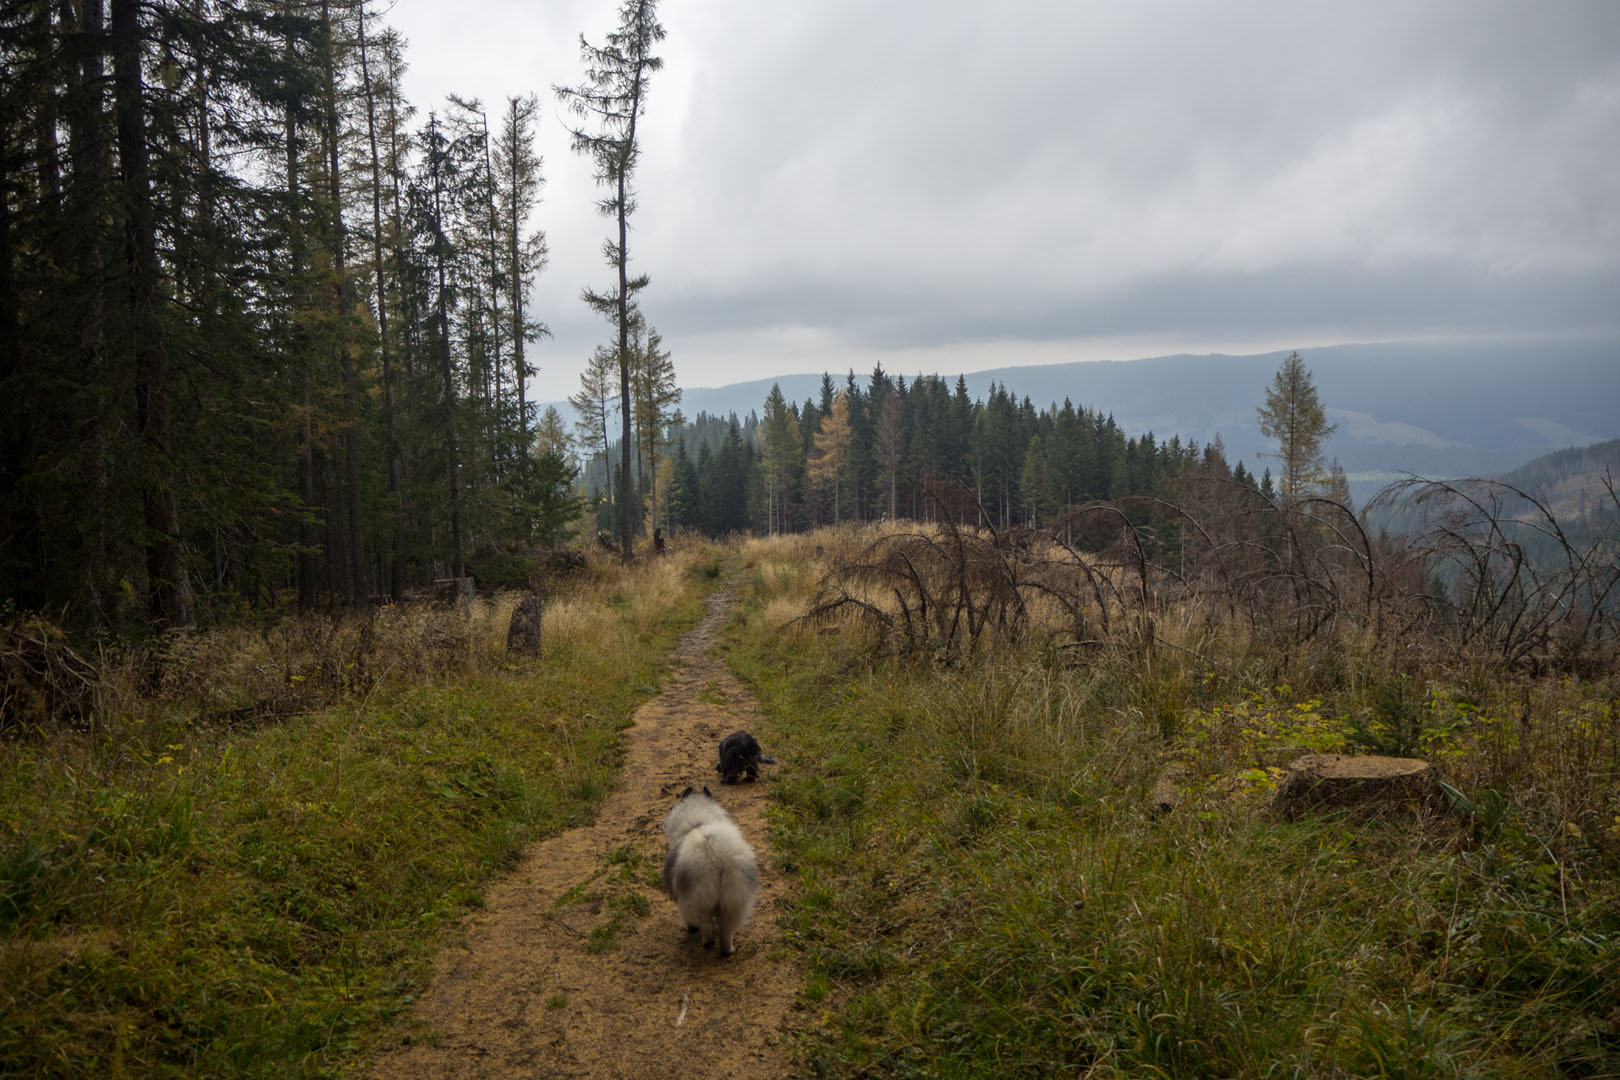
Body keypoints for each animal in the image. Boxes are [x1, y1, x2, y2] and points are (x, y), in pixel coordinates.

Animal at [657, 786, 758, 952]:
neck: (698, 823)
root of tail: (717, 858)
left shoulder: (682, 902)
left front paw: (690, 929)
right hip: (734, 902)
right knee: (727, 933)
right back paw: (729, 950)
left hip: (699, 902)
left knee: (706, 929)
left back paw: (706, 943)